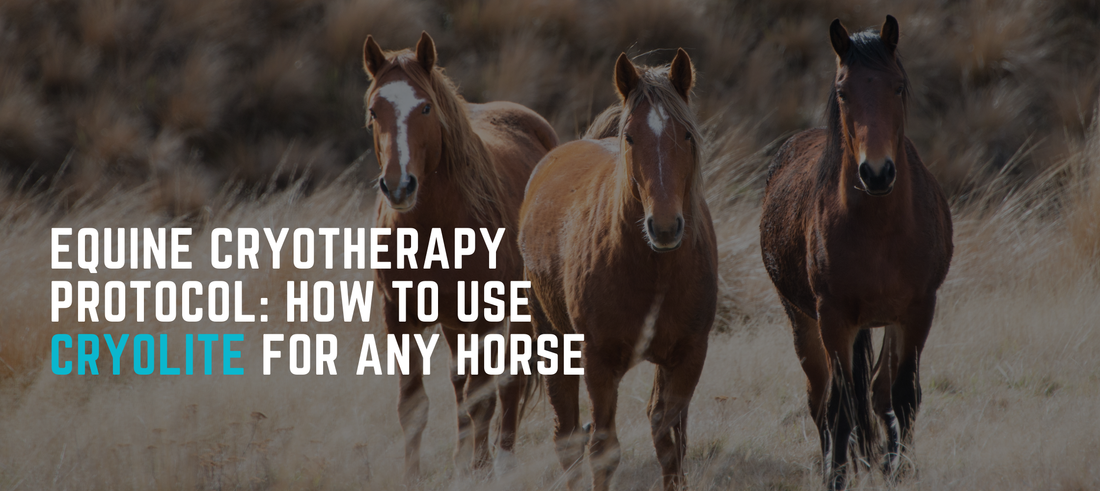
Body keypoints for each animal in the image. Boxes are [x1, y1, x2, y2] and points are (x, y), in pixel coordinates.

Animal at [362, 31, 558, 483]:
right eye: (374, 110)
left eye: (425, 107)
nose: (398, 186)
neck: (432, 230)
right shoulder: (398, 316)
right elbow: (414, 405)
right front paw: (414, 477)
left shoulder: (483, 315)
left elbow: (482, 395)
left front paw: (480, 470)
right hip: (454, 322)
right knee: (460, 382)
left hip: (516, 309)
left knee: (508, 381)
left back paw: (501, 462)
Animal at [519, 49, 718, 491]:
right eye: (631, 138)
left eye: (687, 135)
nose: (665, 226)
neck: (654, 268)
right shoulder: (599, 361)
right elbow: (603, 450)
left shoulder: (689, 355)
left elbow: (670, 440)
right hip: (553, 338)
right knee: (568, 436)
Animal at [759, 16, 953, 490]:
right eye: (843, 90)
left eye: (897, 86)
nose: (877, 172)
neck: (879, 229)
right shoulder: (834, 319)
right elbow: (841, 405)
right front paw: (837, 476)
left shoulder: (918, 310)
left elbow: (903, 394)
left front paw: (899, 470)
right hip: (803, 321)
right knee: (821, 399)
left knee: (879, 389)